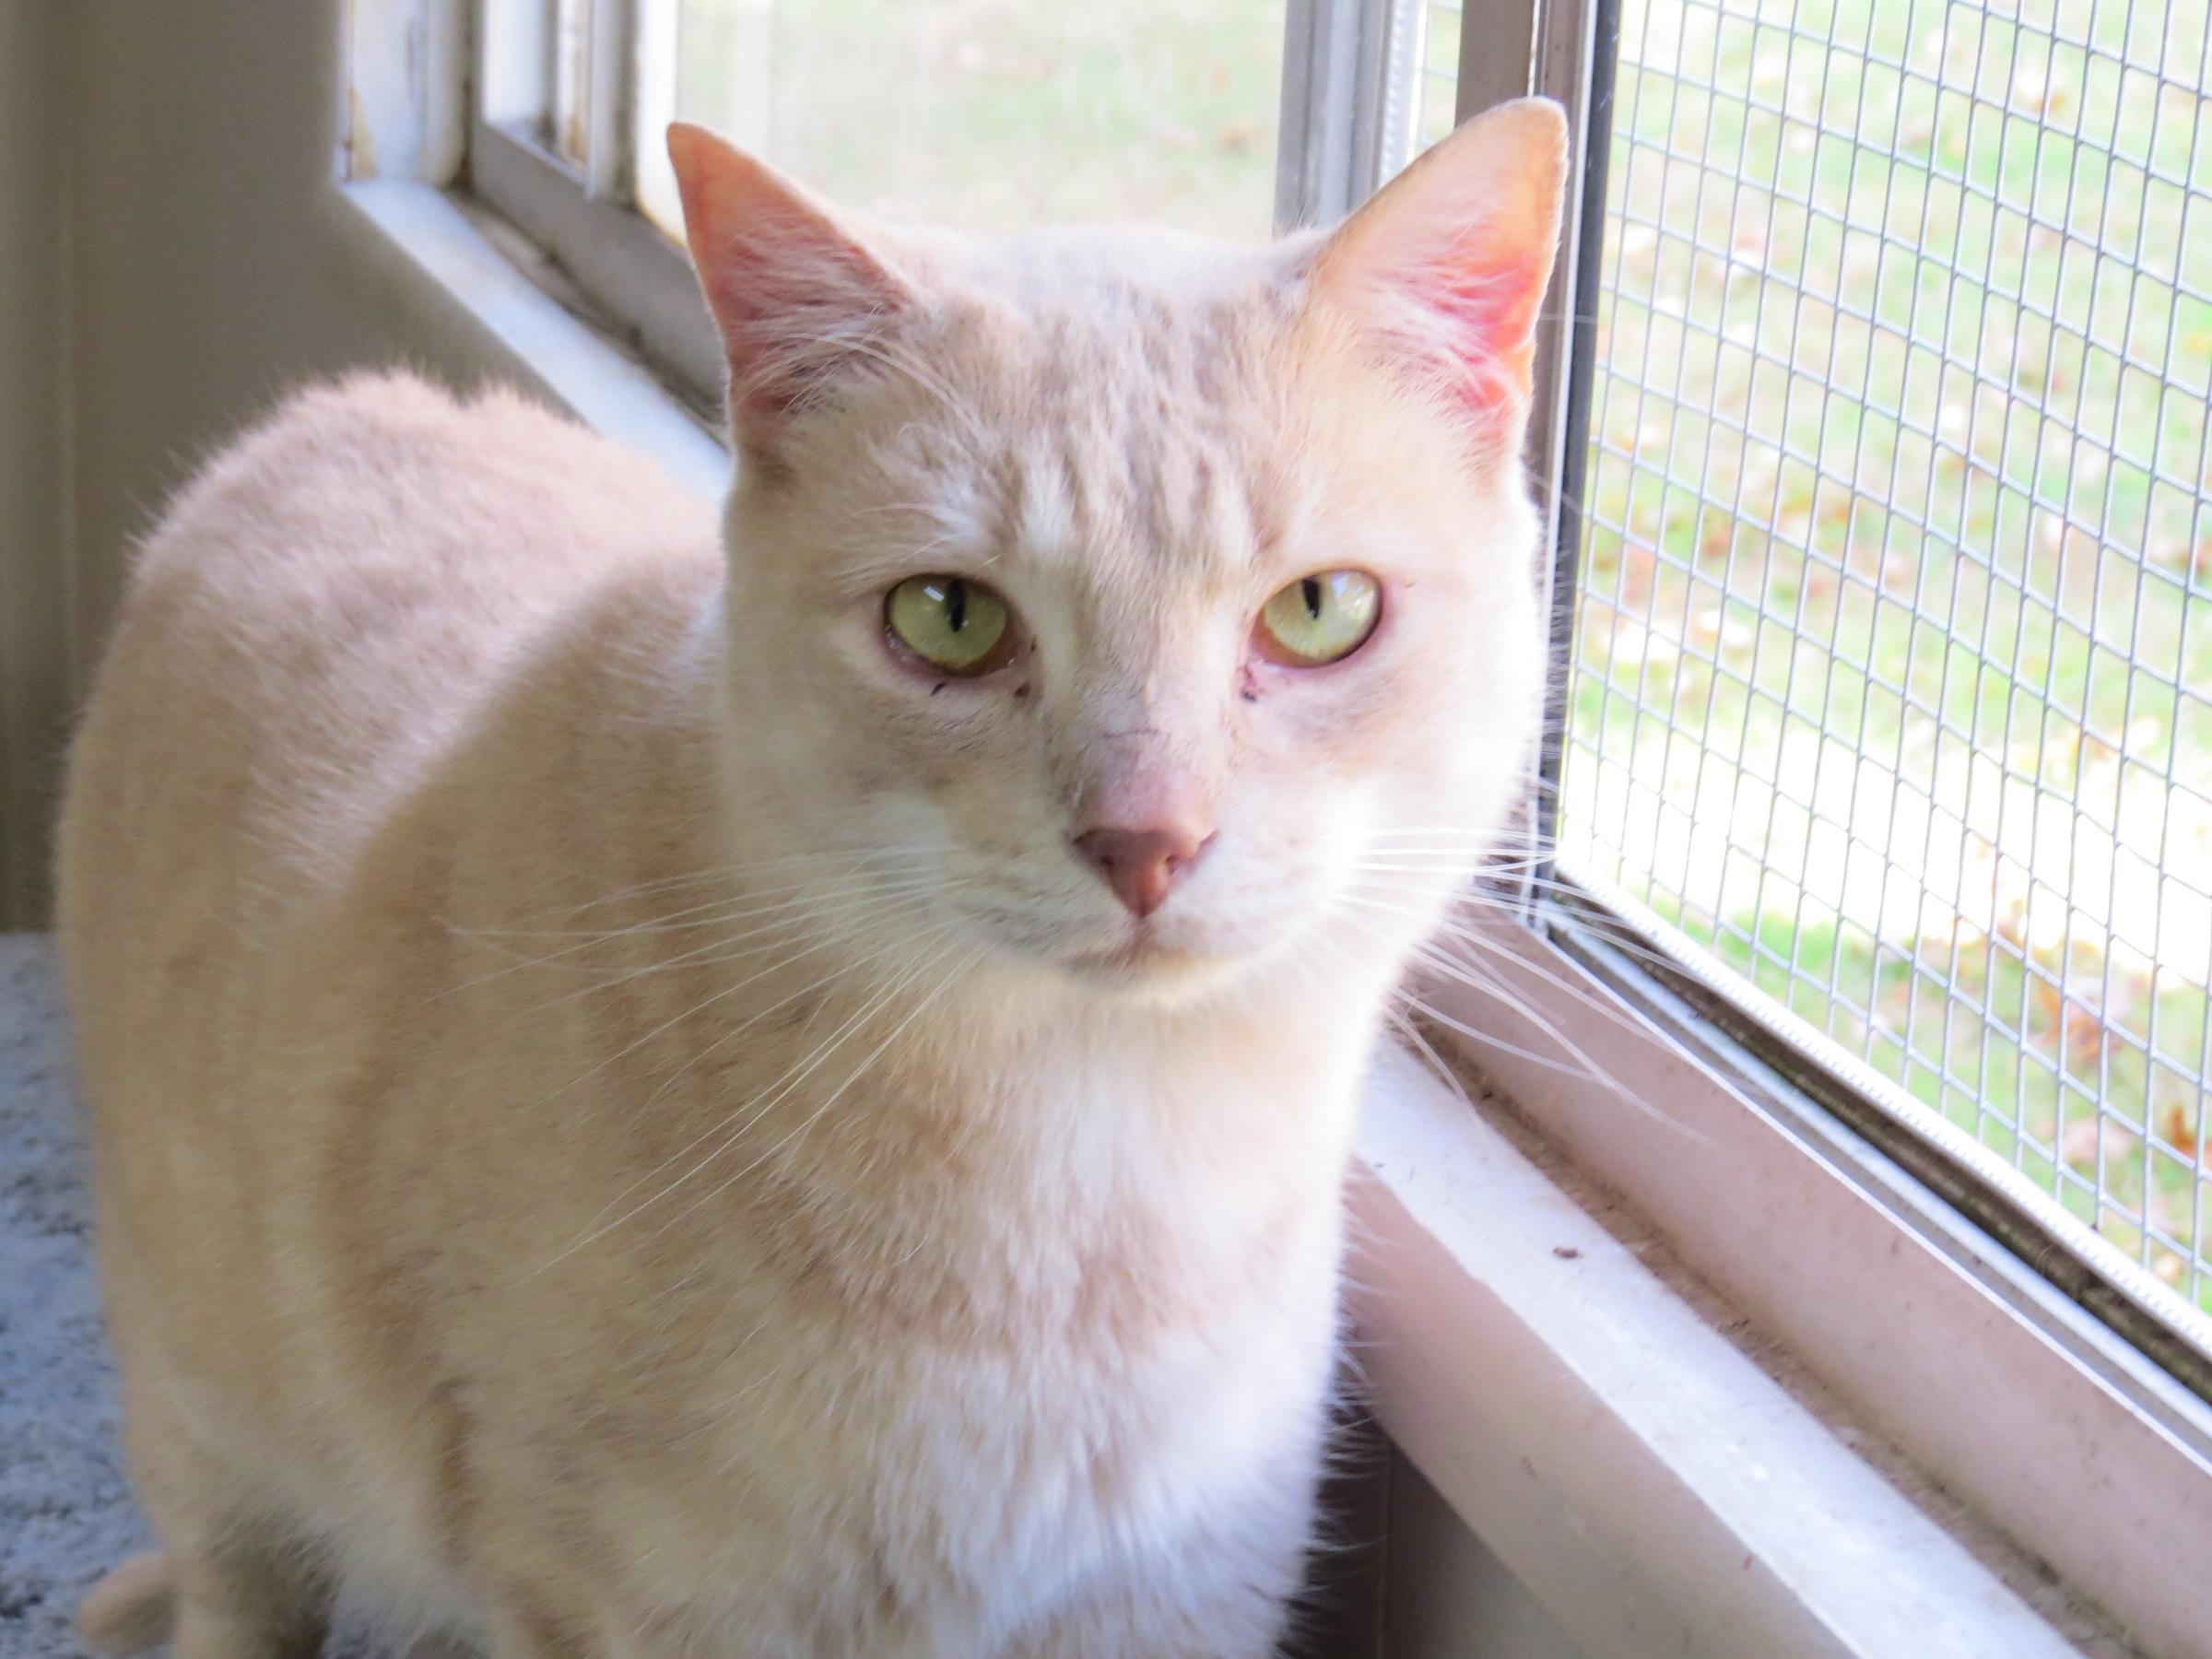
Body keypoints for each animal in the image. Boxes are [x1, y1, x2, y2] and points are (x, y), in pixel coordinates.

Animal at [55, 107, 1574, 1659]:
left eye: (1320, 611)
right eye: (949, 619)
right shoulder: (600, 1602)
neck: (1095, 1185)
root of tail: (315, 419)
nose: (1148, 837)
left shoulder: (1174, 1603)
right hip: (203, 1403)